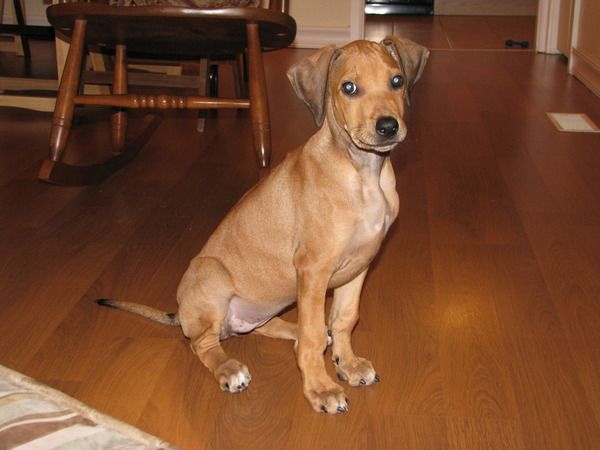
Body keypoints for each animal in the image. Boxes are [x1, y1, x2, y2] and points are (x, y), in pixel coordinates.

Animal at [97, 37, 429, 414]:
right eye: (349, 88)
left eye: (397, 81)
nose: (388, 127)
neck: (362, 173)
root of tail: (181, 313)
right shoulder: (314, 270)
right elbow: (314, 336)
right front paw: (321, 388)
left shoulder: (360, 265)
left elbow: (345, 318)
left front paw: (348, 363)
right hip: (211, 275)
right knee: (203, 343)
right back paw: (229, 368)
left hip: (269, 301)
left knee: (265, 327)